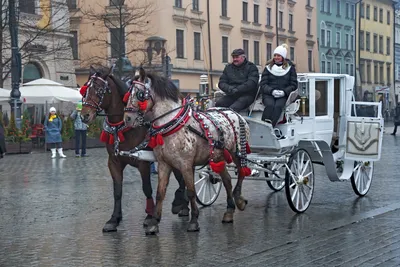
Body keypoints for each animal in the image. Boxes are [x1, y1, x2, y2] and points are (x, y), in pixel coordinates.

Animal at [80, 66, 190, 232]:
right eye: (85, 90)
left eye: (99, 90)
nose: (84, 115)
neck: (123, 128)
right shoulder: (114, 162)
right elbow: (117, 191)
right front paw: (114, 219)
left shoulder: (143, 162)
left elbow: (147, 188)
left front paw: (150, 215)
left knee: (181, 178)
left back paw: (182, 205)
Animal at [123, 69, 252, 237]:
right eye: (128, 93)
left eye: (139, 94)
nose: (127, 118)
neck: (171, 124)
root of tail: (234, 113)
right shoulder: (164, 164)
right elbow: (160, 193)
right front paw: (154, 223)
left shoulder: (185, 165)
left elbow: (190, 192)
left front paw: (193, 221)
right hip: (219, 157)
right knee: (227, 180)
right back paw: (229, 212)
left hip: (237, 153)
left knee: (241, 173)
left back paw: (239, 200)